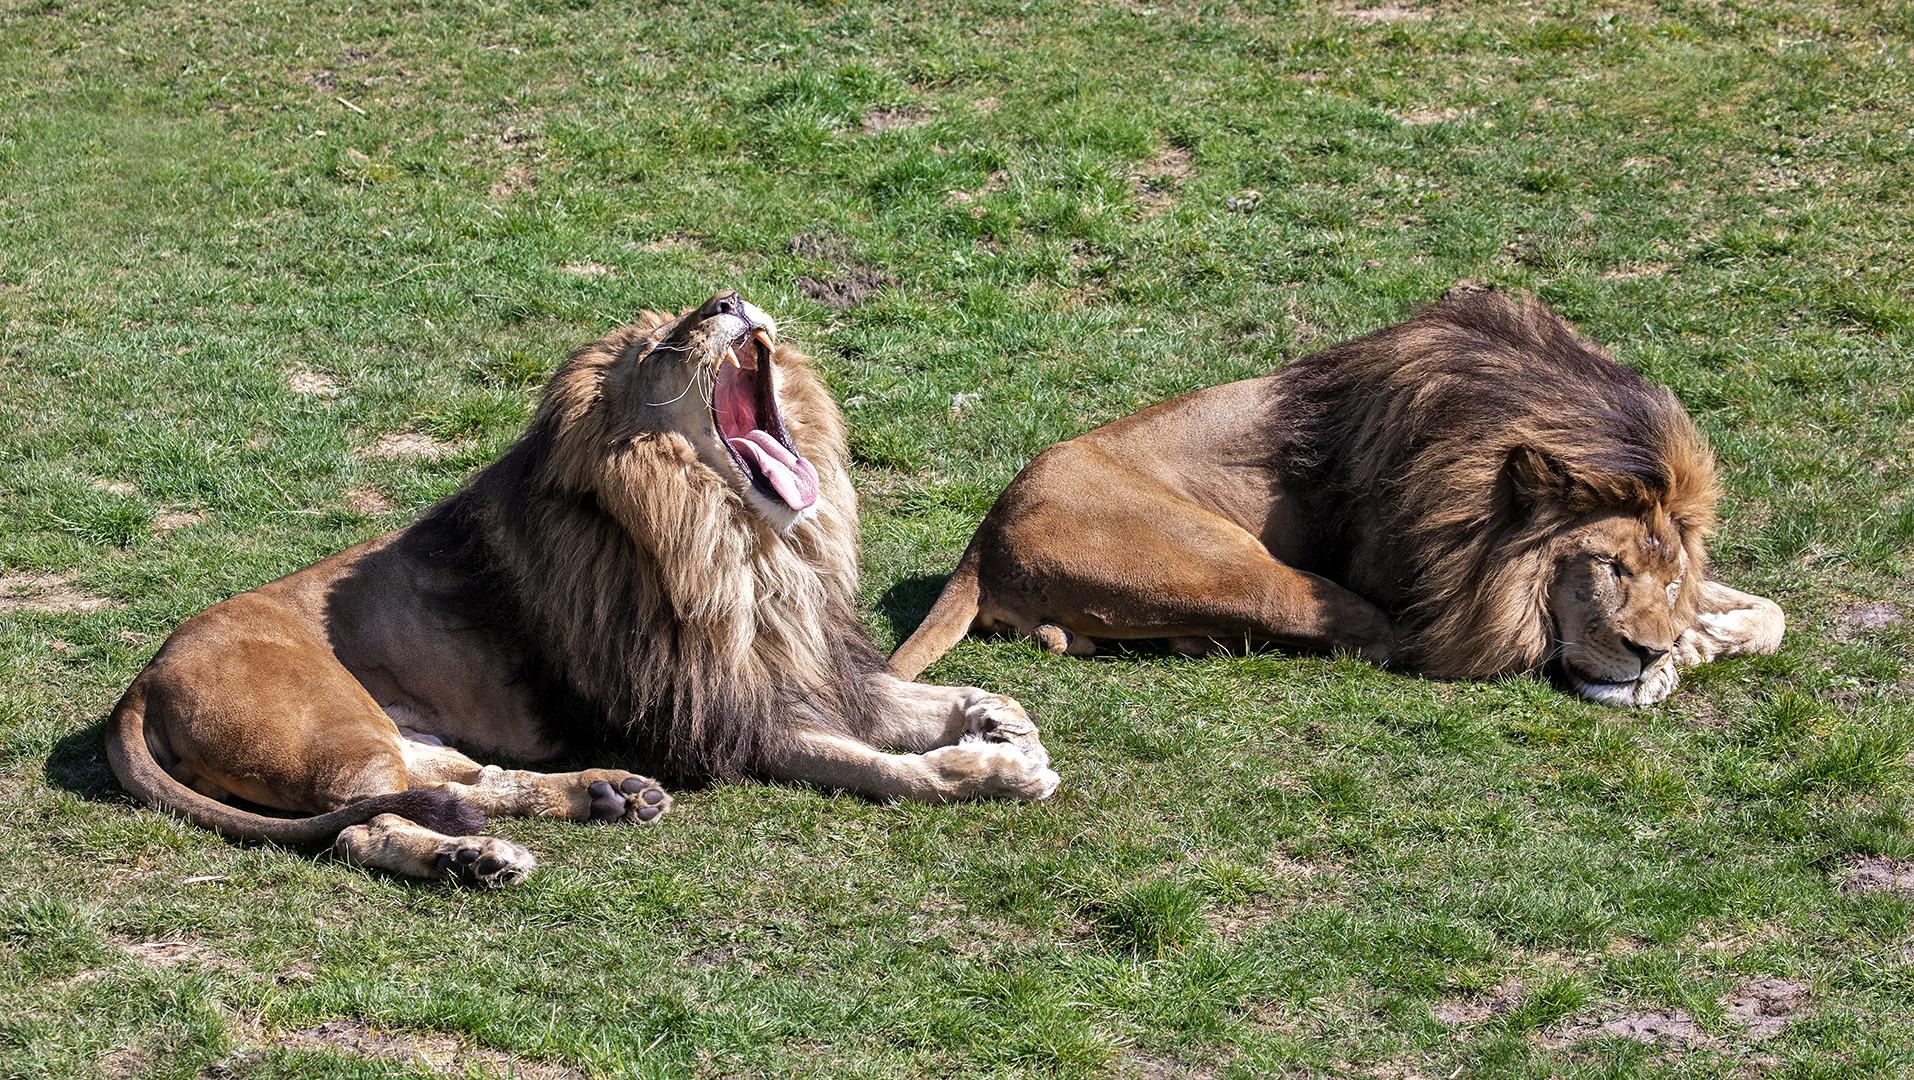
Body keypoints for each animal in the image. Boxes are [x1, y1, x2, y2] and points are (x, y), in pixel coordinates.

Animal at [108, 289, 1064, 884]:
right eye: (665, 349)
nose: (730, 301)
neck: (749, 547)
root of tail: (143, 678)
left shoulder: (803, 668)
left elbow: (901, 697)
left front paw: (992, 713)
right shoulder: (727, 722)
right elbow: (880, 768)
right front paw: (992, 768)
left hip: (402, 737)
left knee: (466, 783)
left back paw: (607, 795)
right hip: (338, 729)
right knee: (361, 826)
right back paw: (477, 860)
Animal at [888, 287, 1783, 708]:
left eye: (1668, 575)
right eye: (1605, 566)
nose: (1647, 649)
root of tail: (983, 535)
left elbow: (1772, 612)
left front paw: (1705, 635)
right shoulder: (1440, 606)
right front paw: (1673, 661)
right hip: (1252, 572)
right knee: (1364, 638)